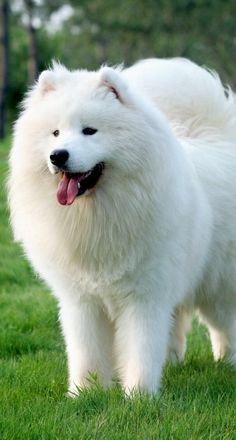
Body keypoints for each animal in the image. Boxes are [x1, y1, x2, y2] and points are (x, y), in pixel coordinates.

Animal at [8, 55, 236, 396]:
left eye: (90, 131)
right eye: (56, 133)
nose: (58, 156)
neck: (98, 213)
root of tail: (215, 138)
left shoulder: (145, 295)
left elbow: (141, 347)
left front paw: (139, 395)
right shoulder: (82, 300)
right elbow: (86, 350)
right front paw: (85, 393)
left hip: (217, 284)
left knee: (224, 325)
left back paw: (227, 362)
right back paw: (173, 363)